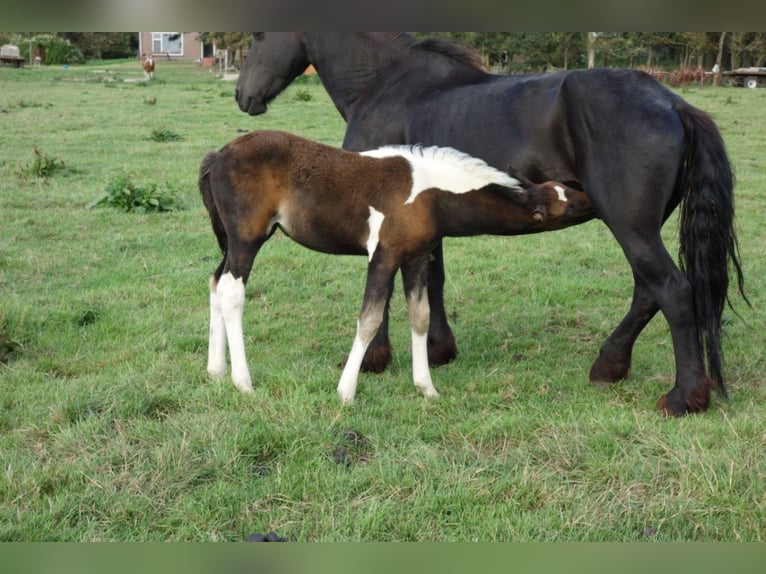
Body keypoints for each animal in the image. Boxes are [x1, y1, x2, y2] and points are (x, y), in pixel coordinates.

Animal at [200, 130, 592, 404]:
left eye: (565, 190)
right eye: (568, 205)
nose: (590, 196)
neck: (432, 194)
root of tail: (219, 155)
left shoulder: (416, 258)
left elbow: (420, 317)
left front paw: (426, 388)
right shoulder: (384, 255)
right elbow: (370, 318)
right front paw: (346, 391)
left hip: (234, 242)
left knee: (216, 282)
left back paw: (216, 371)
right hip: (248, 239)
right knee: (232, 290)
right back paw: (243, 382)